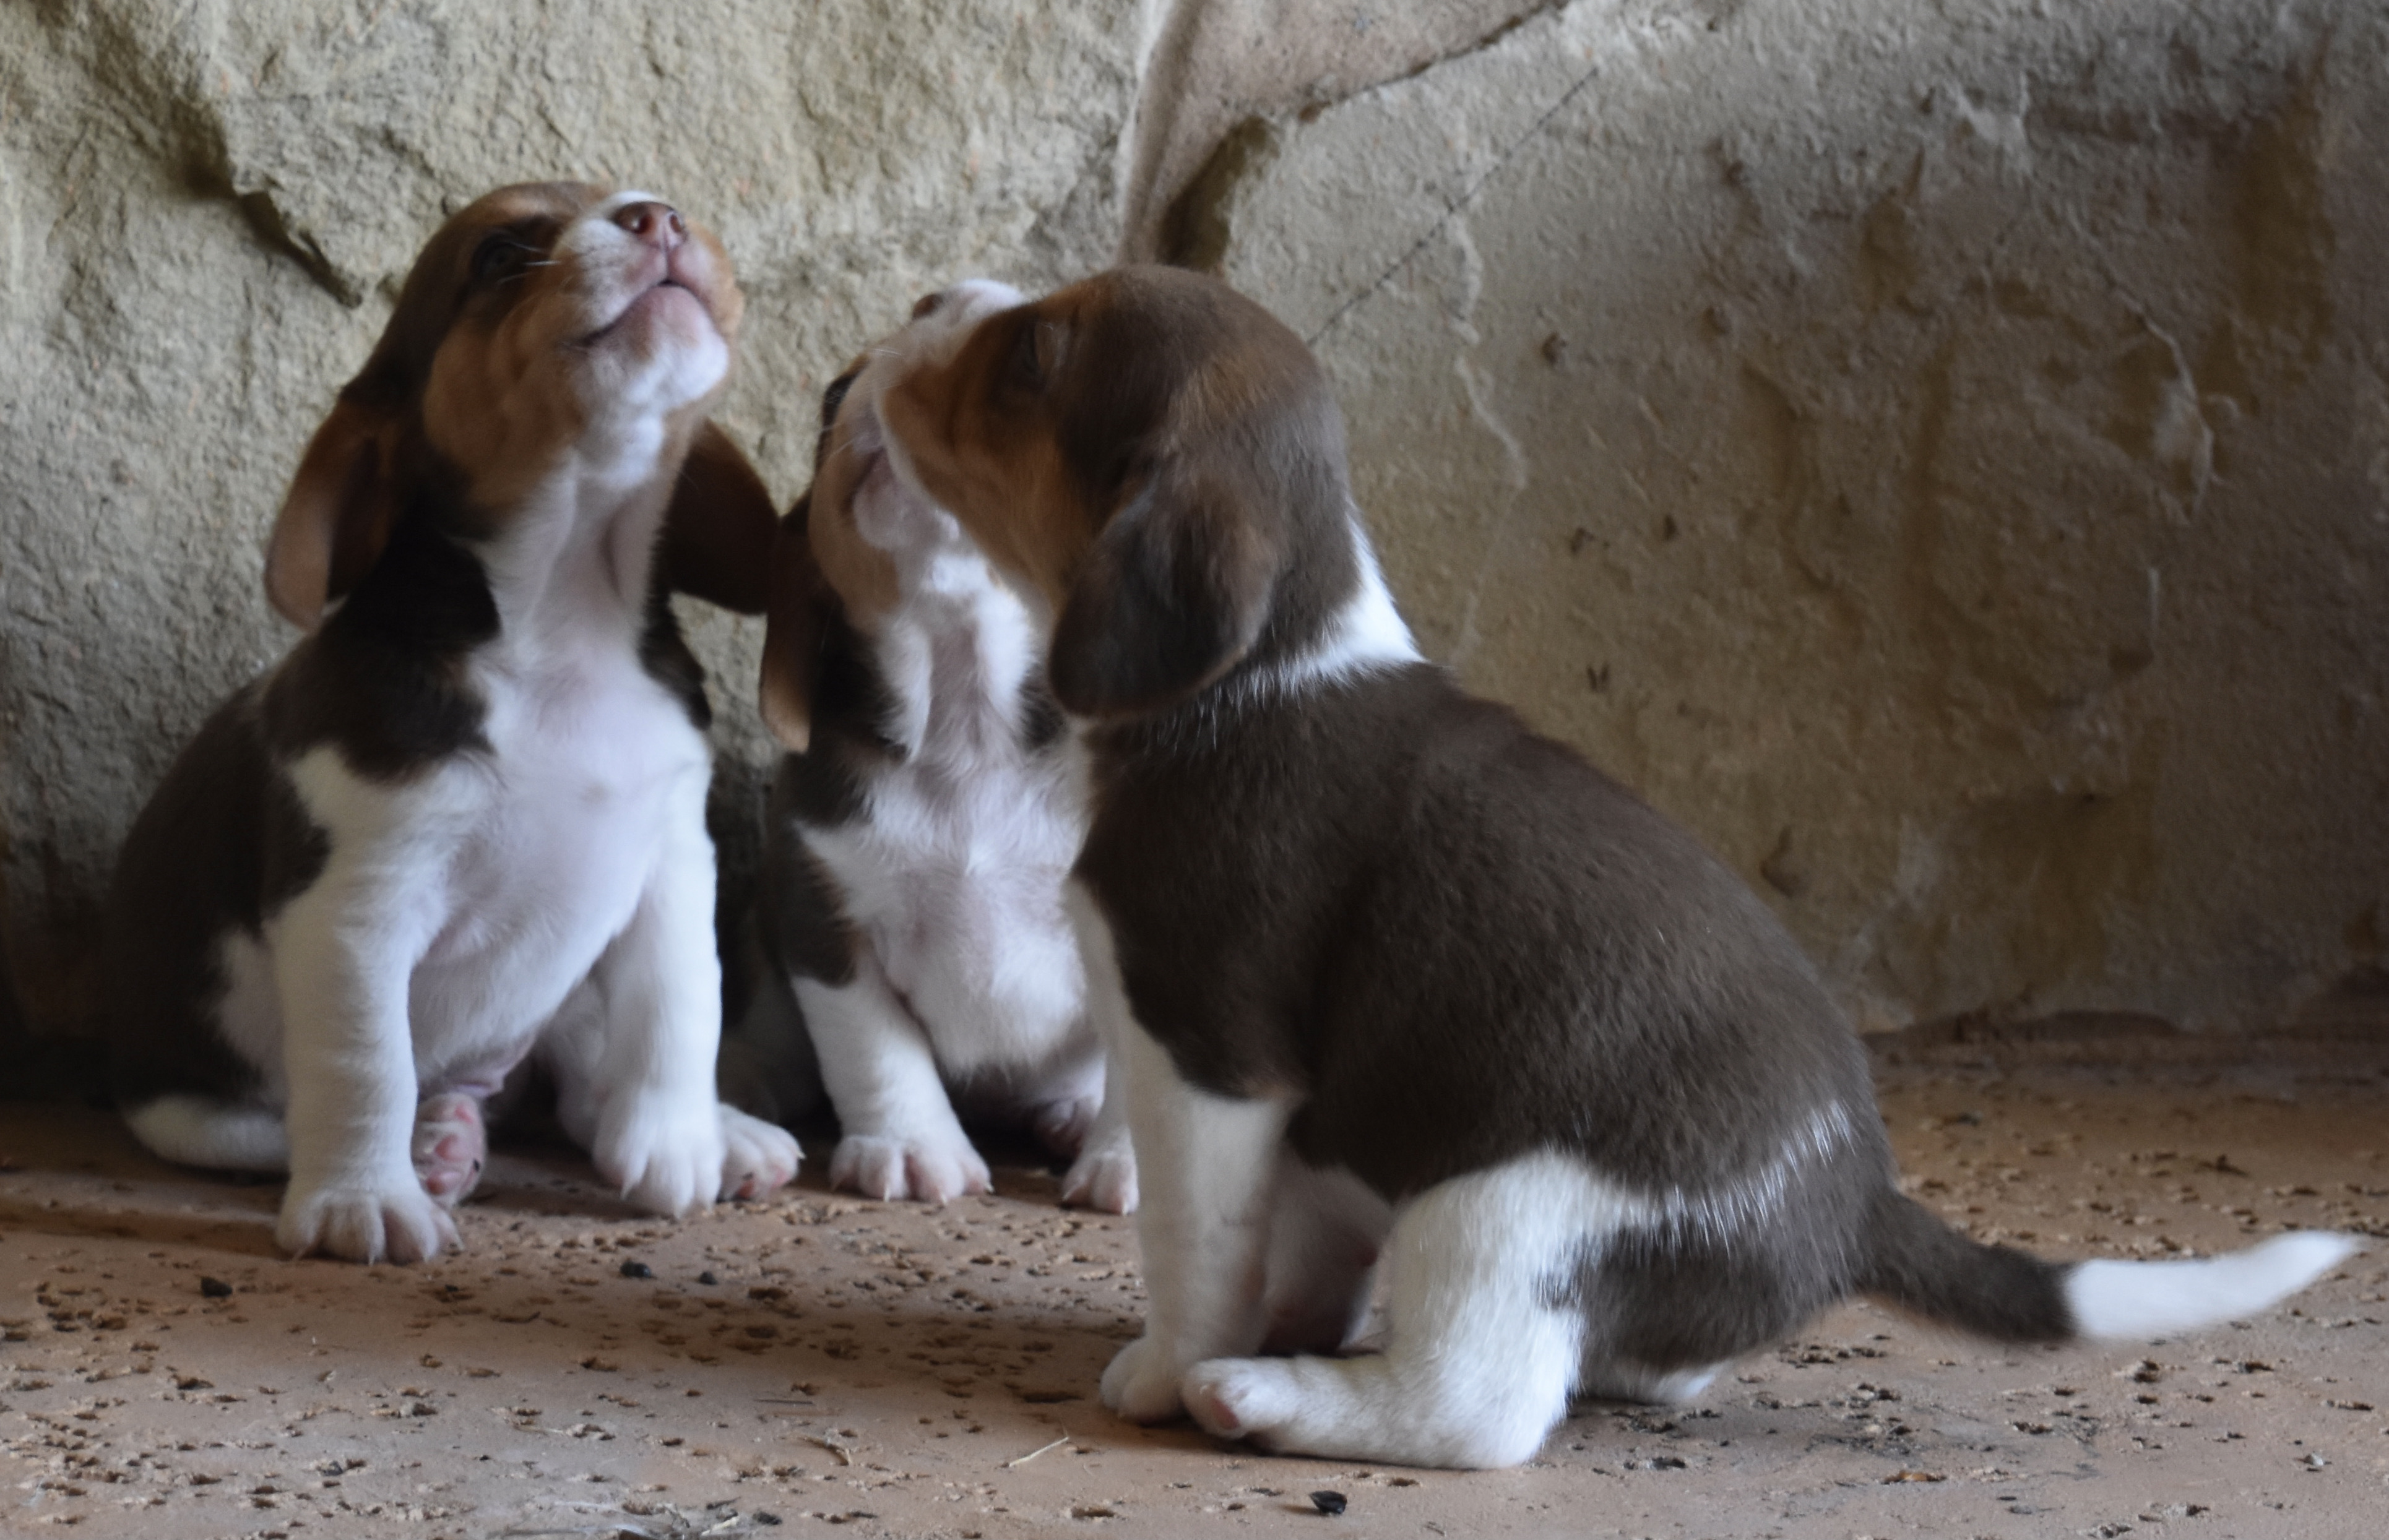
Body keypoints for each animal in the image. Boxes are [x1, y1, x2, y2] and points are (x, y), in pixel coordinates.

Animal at [105, 183, 801, 1264]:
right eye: (500, 253)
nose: (658, 216)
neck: (564, 606)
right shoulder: (357, 907)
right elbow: (365, 1065)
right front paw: (363, 1199)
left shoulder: (674, 860)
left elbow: (679, 1005)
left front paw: (680, 1141)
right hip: (187, 1105)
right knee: (282, 1121)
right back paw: (429, 1144)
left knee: (582, 1075)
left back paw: (700, 1134)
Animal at [725, 281, 1135, 1211]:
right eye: (833, 398)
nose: (941, 303)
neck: (964, 717)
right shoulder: (824, 919)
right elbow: (875, 1046)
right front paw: (913, 1147)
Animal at [870, 264, 2362, 1467]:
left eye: (1031, 357)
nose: (923, 299)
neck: (1262, 674)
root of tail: (1859, 1203)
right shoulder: (1305, 1129)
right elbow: (1305, 1239)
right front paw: (1290, 1322)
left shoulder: (1204, 1060)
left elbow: (1198, 1248)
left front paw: (1176, 1366)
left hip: (1506, 1211)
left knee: (1482, 1402)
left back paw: (1270, 1398)